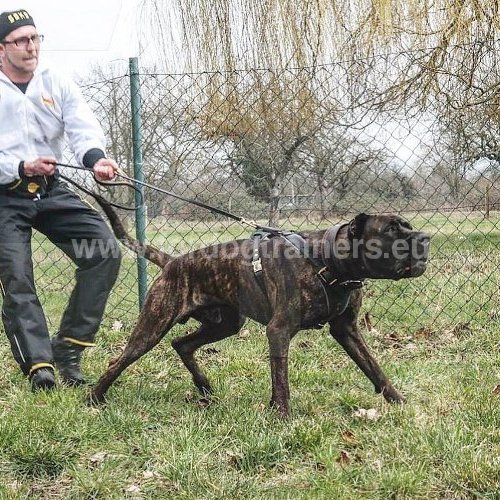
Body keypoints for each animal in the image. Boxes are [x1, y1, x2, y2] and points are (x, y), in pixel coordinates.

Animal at [88, 197, 428, 416]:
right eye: (389, 230)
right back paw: (94, 398)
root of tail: (173, 261)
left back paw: (204, 387)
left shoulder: (347, 330)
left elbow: (374, 368)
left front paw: (398, 401)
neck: (326, 258)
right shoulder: (279, 331)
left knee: (181, 344)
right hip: (153, 325)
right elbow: (281, 380)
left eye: (407, 225)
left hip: (224, 324)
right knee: (120, 360)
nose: (425, 238)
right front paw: (282, 417)